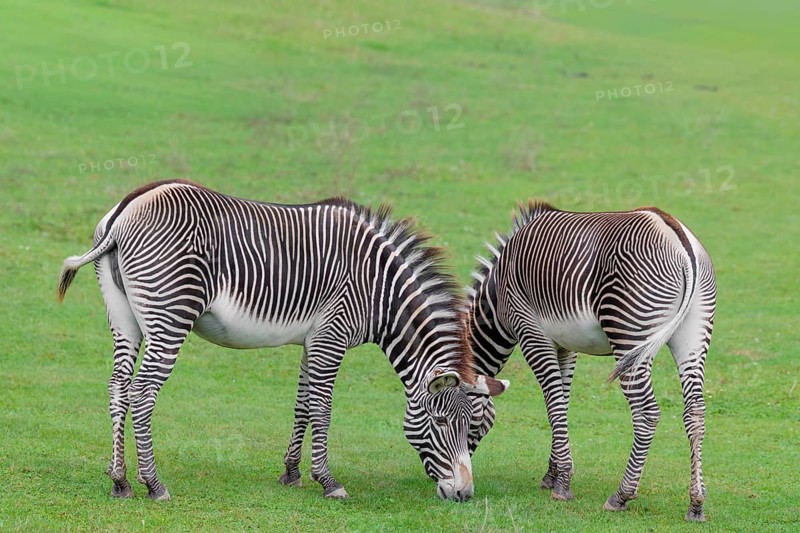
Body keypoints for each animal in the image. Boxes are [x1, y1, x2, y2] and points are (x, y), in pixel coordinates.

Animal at [56, 179, 509, 502]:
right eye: (441, 421)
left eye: (475, 426)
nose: (464, 495)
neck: (380, 288)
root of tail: (125, 209)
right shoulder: (332, 336)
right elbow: (323, 409)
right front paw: (329, 481)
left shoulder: (314, 339)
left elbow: (302, 405)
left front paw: (291, 474)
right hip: (170, 315)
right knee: (143, 391)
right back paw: (154, 484)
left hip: (124, 318)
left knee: (118, 387)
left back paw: (120, 482)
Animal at [466, 200, 716, 521]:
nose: (460, 485)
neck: (497, 294)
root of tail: (675, 233)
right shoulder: (564, 346)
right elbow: (559, 406)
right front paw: (552, 475)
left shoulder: (531, 333)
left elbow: (553, 404)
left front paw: (562, 484)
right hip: (693, 334)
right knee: (695, 412)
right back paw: (696, 503)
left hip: (629, 333)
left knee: (647, 412)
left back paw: (621, 495)